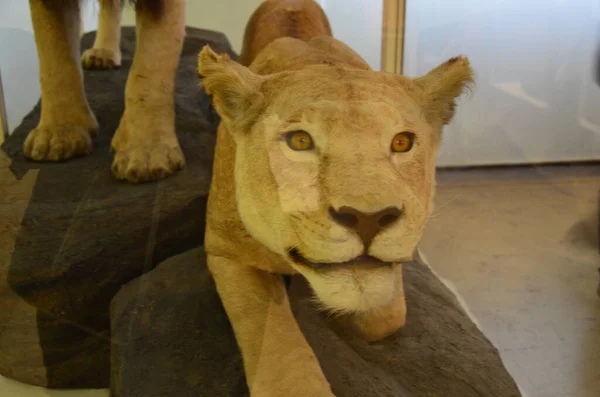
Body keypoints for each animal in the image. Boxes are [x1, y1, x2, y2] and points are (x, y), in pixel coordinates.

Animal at [199, 0, 476, 396]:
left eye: (402, 142)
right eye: (300, 141)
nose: (369, 218)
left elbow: (386, 315)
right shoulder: (225, 251)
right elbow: (281, 353)